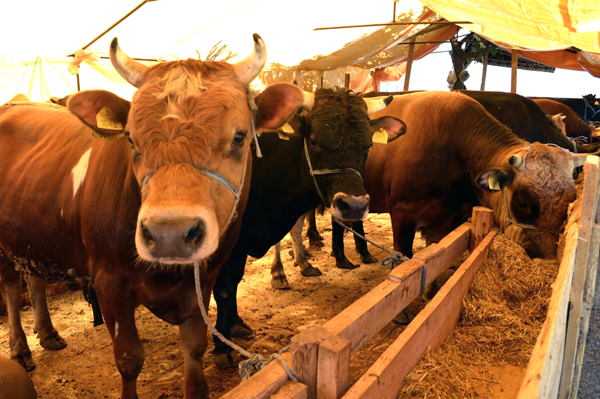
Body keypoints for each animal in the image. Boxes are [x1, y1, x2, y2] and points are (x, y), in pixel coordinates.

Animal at [2, 36, 314, 398]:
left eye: (239, 137)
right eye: (130, 138)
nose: (170, 235)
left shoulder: (202, 281)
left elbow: (194, 349)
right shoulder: (109, 282)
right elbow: (129, 358)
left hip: (32, 234)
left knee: (34, 280)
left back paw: (48, 334)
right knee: (12, 290)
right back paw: (21, 349)